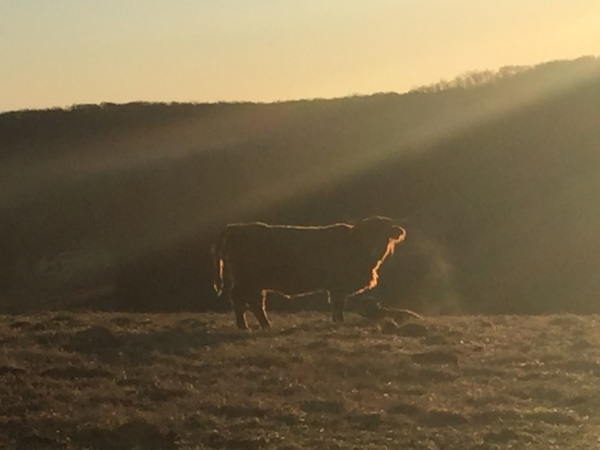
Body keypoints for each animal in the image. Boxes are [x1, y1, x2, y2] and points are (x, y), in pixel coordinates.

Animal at [213, 216, 406, 328]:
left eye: (383, 233)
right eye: (368, 233)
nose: (374, 247)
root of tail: (233, 227)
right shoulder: (337, 285)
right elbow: (337, 304)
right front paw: (339, 322)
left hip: (253, 283)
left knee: (252, 302)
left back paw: (261, 325)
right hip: (247, 280)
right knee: (244, 301)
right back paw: (249, 326)